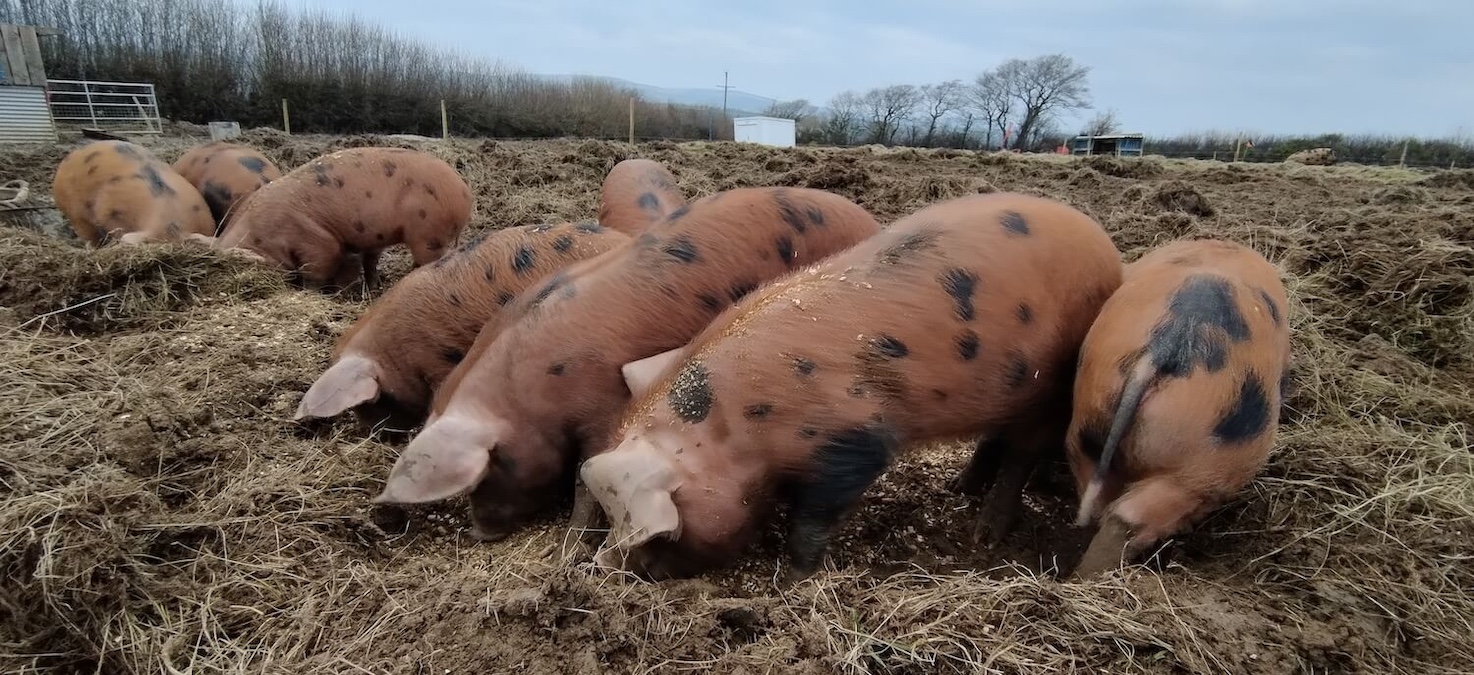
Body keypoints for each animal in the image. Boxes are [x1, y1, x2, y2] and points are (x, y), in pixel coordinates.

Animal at [212, 147, 473, 290]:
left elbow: (316, 271)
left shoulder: (316, 240)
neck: (261, 234)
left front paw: (311, 292)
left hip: (429, 234)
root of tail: (463, 189)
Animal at [369, 186, 883, 543]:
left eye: (493, 463)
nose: (480, 532)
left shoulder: (604, 407)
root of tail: (870, 220)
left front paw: (572, 541)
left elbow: (586, 473)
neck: (529, 386)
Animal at [577, 192, 1125, 582]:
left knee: (1021, 456)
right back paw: (959, 487)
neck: (738, 426)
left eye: (664, 535)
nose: (617, 569)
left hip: (1054, 384)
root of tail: (1103, 243)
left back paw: (985, 535)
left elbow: (815, 517)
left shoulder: (853, 442)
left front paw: (796, 578)